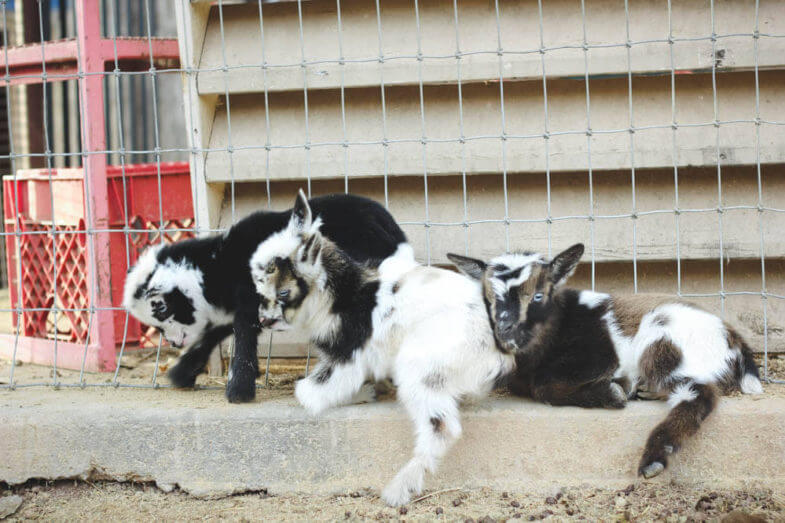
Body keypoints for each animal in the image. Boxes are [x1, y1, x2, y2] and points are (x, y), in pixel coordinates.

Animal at [123, 194, 408, 404]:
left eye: (161, 308)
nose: (172, 341)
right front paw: (181, 374)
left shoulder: (250, 300)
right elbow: (215, 334)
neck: (218, 265)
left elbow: (243, 336)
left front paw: (238, 392)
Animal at [248, 190, 512, 506]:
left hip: (420, 368)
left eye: (284, 291)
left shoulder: (346, 357)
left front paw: (362, 394)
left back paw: (399, 490)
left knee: (442, 427)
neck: (345, 295)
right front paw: (373, 390)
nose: (263, 319)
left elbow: (308, 393)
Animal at [450, 244, 764, 482]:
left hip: (662, 337)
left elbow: (544, 387)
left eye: (538, 295)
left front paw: (612, 391)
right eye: (488, 300)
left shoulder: (600, 357)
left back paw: (653, 457)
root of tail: (733, 337)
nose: (505, 332)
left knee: (698, 393)